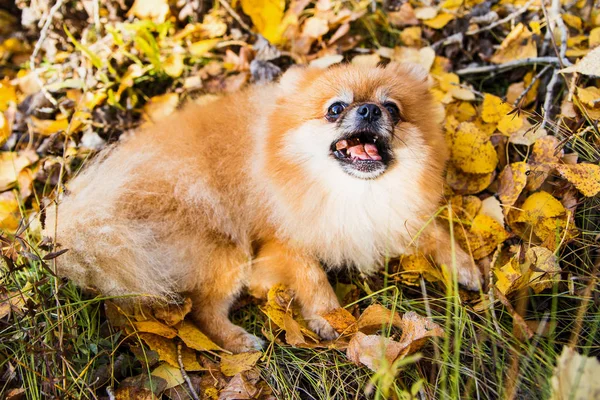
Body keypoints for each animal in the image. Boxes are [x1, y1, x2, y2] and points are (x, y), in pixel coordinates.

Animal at [43, 61, 482, 350]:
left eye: (392, 108)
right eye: (335, 109)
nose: (370, 109)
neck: (352, 192)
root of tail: (105, 212)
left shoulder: (397, 215)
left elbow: (438, 234)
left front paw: (466, 268)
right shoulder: (282, 241)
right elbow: (311, 275)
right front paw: (330, 319)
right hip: (228, 252)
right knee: (202, 311)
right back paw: (238, 341)